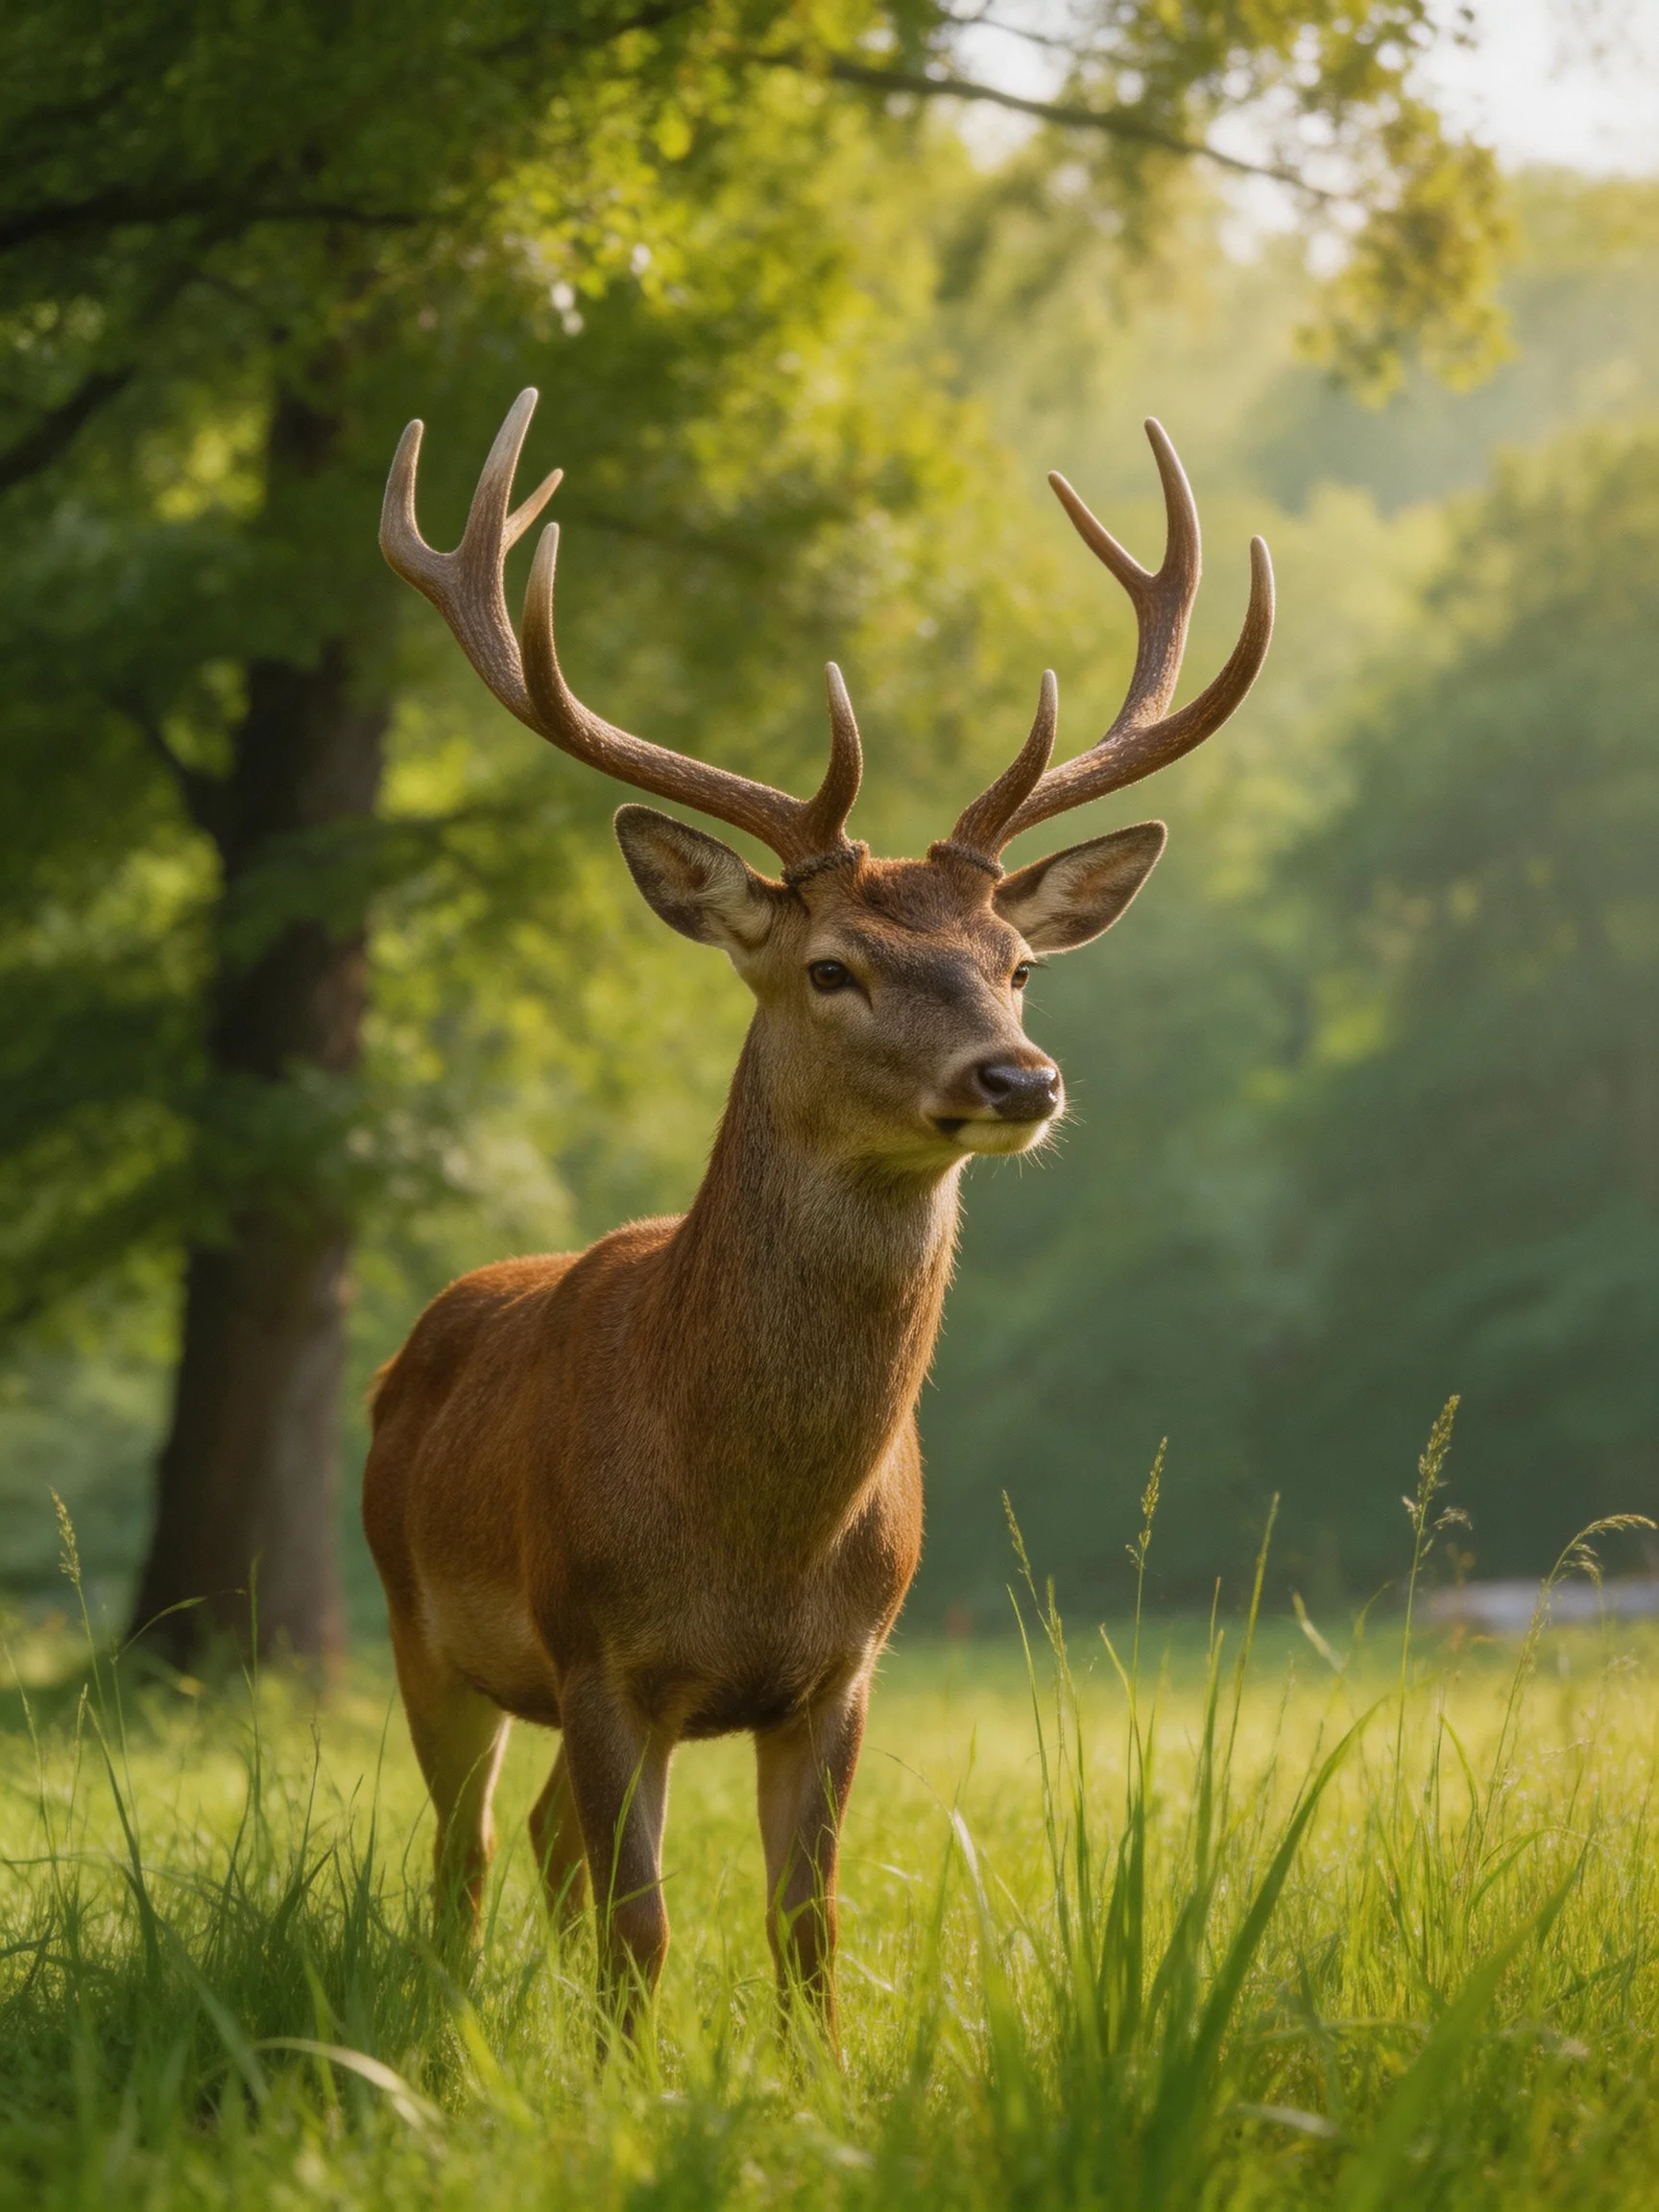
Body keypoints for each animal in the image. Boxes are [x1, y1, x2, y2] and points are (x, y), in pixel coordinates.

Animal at [362, 389, 1272, 2047]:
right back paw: (452, 2021)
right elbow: (645, 1931)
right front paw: (624, 2080)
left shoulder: (846, 1669)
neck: (751, 1529)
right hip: (416, 1623)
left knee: (535, 1839)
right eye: (832, 966)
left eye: (1017, 966)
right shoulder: (598, 1649)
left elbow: (809, 1928)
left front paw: (803, 2075)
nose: (1020, 1075)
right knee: (463, 1854)